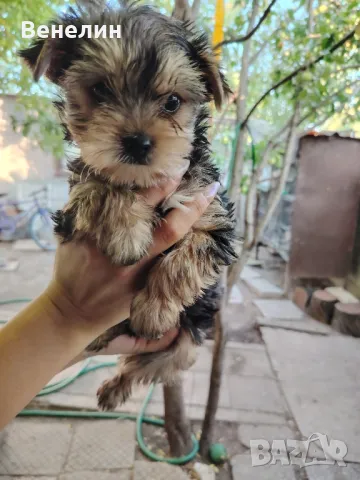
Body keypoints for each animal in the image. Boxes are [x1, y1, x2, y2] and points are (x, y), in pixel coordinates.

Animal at [21, 1, 238, 410]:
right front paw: (127, 234)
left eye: (172, 102)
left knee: (151, 364)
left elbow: (188, 255)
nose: (137, 142)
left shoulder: (211, 212)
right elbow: (101, 183)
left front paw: (154, 309)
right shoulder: (73, 206)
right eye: (100, 90)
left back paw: (116, 384)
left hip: (185, 343)